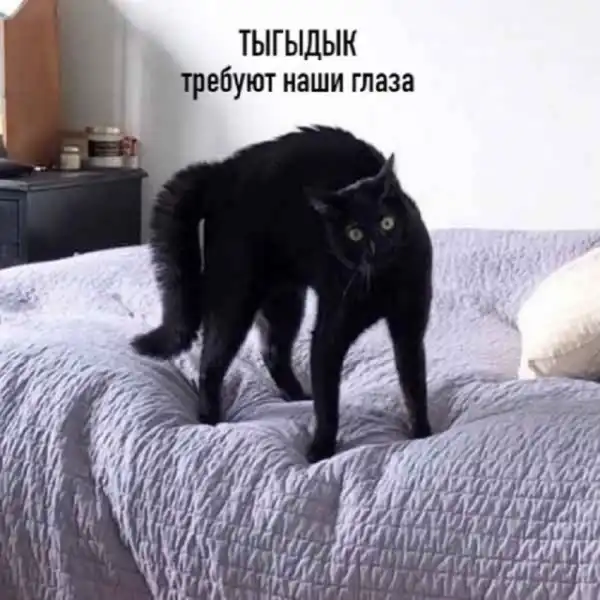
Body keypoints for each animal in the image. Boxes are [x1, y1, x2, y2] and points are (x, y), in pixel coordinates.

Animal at [131, 125, 433, 463]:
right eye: (354, 232)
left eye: (387, 222)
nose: (377, 248)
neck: (383, 281)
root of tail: (221, 170)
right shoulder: (330, 332)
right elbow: (328, 403)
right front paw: (320, 451)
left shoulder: (410, 328)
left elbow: (414, 384)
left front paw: (422, 434)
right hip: (235, 298)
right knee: (210, 363)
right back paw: (209, 419)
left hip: (285, 300)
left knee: (272, 351)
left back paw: (298, 396)